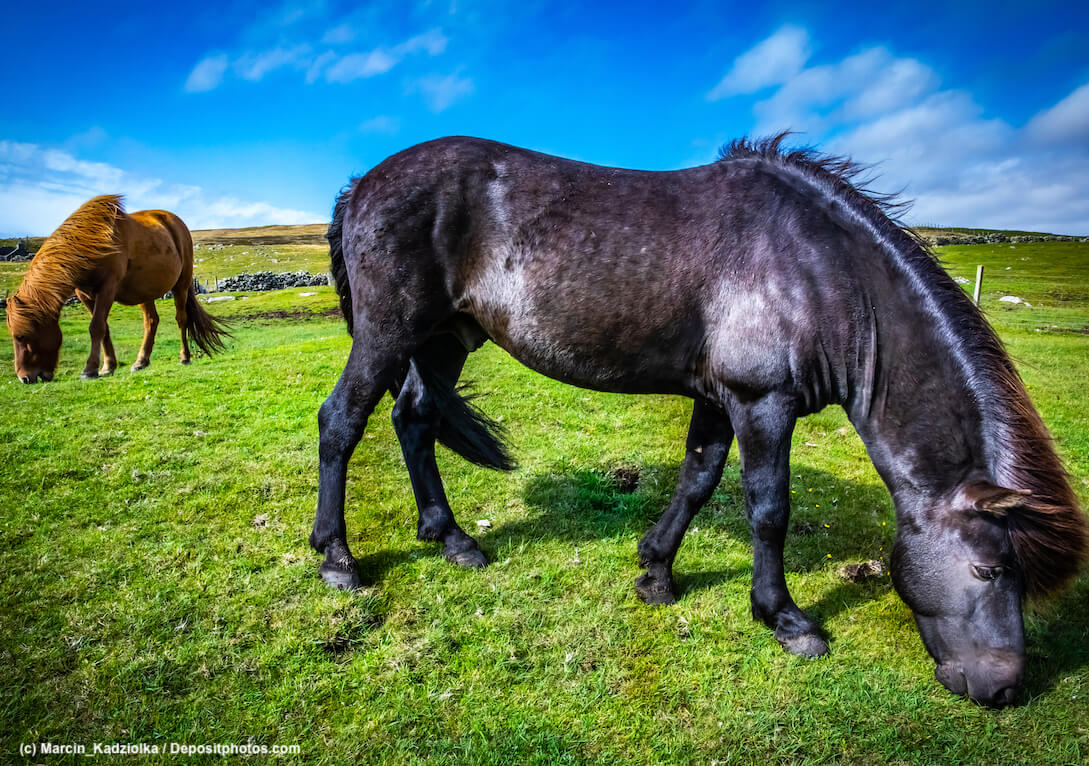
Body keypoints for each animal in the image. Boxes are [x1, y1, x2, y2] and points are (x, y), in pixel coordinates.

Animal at [5, 195, 230, 382]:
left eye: (21, 336)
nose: (24, 378)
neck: (92, 242)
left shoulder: (107, 289)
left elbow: (96, 327)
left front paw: (90, 370)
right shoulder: (85, 294)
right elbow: (104, 328)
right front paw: (107, 367)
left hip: (180, 286)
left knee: (181, 320)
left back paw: (184, 357)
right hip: (145, 291)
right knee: (151, 321)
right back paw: (141, 362)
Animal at [313, 134, 1088, 708]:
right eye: (989, 569)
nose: (1005, 690)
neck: (821, 272)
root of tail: (364, 184)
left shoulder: (720, 400)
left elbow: (696, 480)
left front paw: (656, 573)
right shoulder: (761, 400)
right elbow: (768, 508)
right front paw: (785, 619)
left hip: (443, 339)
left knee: (414, 421)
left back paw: (452, 540)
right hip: (389, 332)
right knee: (340, 422)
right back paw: (337, 559)